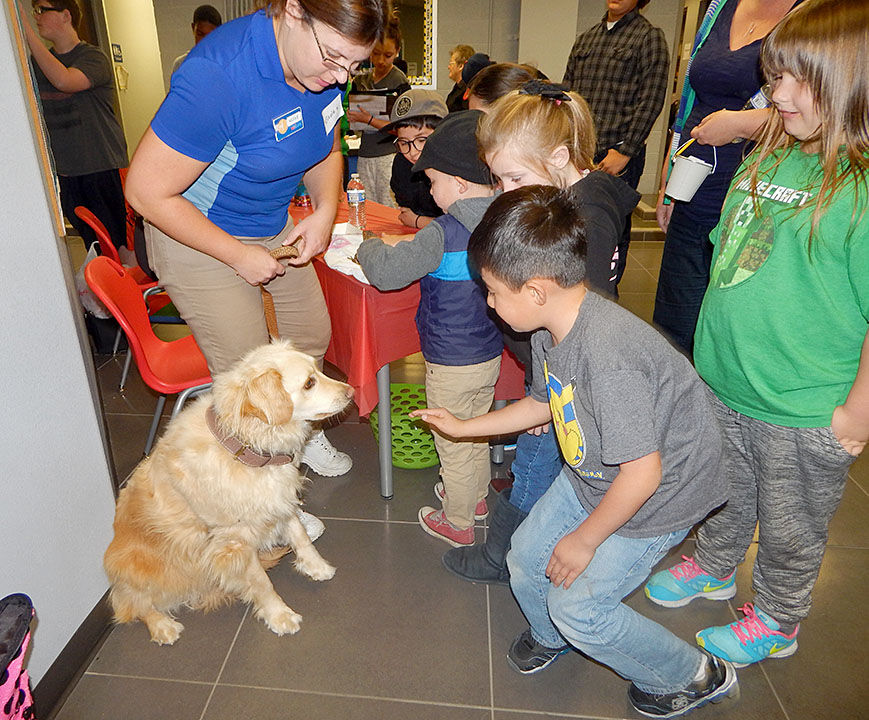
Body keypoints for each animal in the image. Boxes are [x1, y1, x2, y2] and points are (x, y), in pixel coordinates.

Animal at [104, 340, 352, 644]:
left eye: (318, 370)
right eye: (309, 383)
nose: (351, 391)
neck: (244, 446)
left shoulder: (280, 501)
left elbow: (301, 536)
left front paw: (317, 566)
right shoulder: (236, 542)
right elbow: (261, 583)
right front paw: (279, 615)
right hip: (136, 568)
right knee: (133, 604)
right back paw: (163, 626)